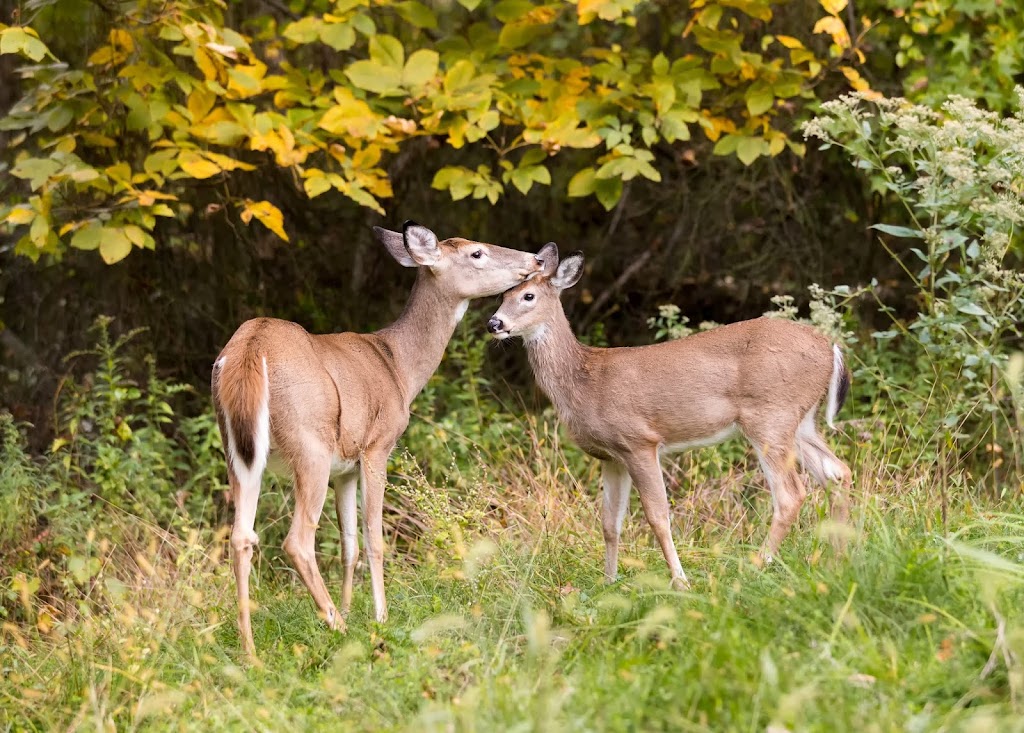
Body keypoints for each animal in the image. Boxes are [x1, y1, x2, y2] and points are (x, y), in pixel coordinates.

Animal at [209, 222, 544, 651]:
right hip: (310, 446)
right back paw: (335, 626)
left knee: (241, 536)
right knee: (296, 540)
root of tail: (248, 351)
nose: (535, 259)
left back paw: (251, 650)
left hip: (239, 450)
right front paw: (379, 618)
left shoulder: (345, 468)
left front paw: (352, 608)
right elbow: (374, 538)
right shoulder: (377, 446)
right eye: (477, 253)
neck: (399, 366)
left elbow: (349, 545)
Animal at [483, 243, 851, 585]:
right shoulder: (611, 456)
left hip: (770, 415)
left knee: (791, 495)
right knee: (837, 472)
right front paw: (609, 582)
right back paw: (838, 561)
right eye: (502, 295)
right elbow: (609, 523)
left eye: (528, 296)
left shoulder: (639, 441)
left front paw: (680, 581)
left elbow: (658, 517)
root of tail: (830, 347)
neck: (585, 380)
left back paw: (756, 568)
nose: (494, 323)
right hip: (800, 420)